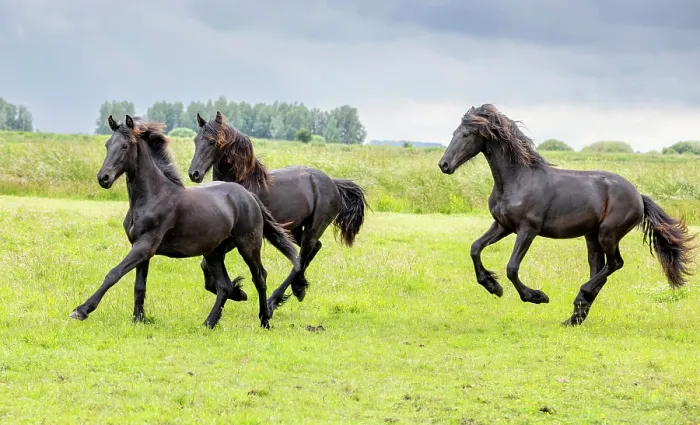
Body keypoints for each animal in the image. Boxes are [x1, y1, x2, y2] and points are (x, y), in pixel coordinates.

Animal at [69, 115, 300, 329]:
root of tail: (249, 195)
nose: (103, 178)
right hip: (214, 252)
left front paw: (81, 310)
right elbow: (139, 286)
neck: (153, 196)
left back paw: (264, 320)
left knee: (259, 276)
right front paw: (138, 319)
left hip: (248, 244)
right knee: (224, 286)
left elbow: (113, 274)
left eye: (125, 146)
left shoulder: (145, 245)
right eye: (108, 144)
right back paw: (210, 322)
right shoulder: (141, 249)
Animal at [187, 111, 369, 315]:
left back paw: (275, 300)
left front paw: (237, 292)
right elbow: (206, 267)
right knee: (312, 250)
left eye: (212, 141)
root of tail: (333, 183)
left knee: (301, 258)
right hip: (293, 230)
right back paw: (298, 288)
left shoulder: (238, 238)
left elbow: (206, 264)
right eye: (196, 140)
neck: (242, 183)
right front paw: (237, 292)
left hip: (313, 228)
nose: (194, 173)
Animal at [438, 104, 697, 326]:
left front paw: (537, 296)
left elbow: (511, 267)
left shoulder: (527, 230)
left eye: (466, 134)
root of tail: (639, 196)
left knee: (615, 263)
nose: (444, 165)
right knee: (600, 268)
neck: (518, 180)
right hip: (592, 237)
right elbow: (475, 248)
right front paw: (493, 286)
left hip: (608, 234)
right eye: (454, 132)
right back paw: (575, 317)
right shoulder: (502, 226)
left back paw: (581, 297)